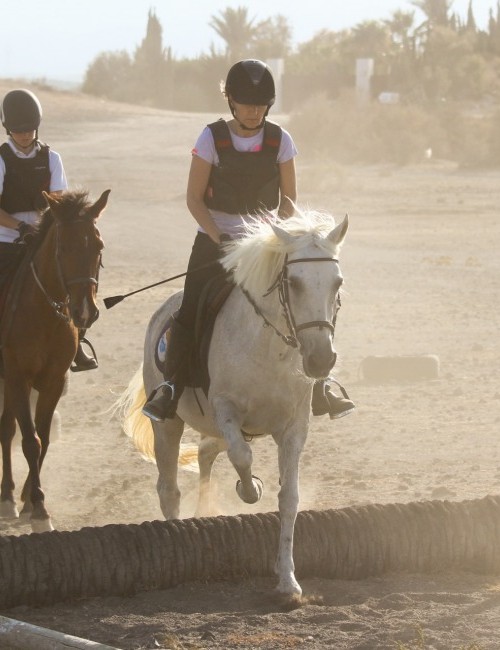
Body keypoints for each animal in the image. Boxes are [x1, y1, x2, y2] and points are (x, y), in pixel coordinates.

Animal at [0, 189, 109, 532]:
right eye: (63, 248)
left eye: (98, 246)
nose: (84, 312)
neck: (43, 312)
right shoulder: (18, 376)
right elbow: (30, 441)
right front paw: (39, 511)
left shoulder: (53, 381)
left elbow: (43, 437)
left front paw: (31, 501)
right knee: (8, 429)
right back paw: (7, 497)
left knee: (7, 426)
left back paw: (11, 496)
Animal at [121, 210, 348, 596]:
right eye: (294, 282)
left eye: (337, 283)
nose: (320, 360)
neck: (270, 347)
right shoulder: (226, 410)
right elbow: (242, 456)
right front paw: (250, 488)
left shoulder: (293, 427)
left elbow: (289, 498)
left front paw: (288, 581)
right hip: (168, 424)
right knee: (169, 488)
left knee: (205, 454)